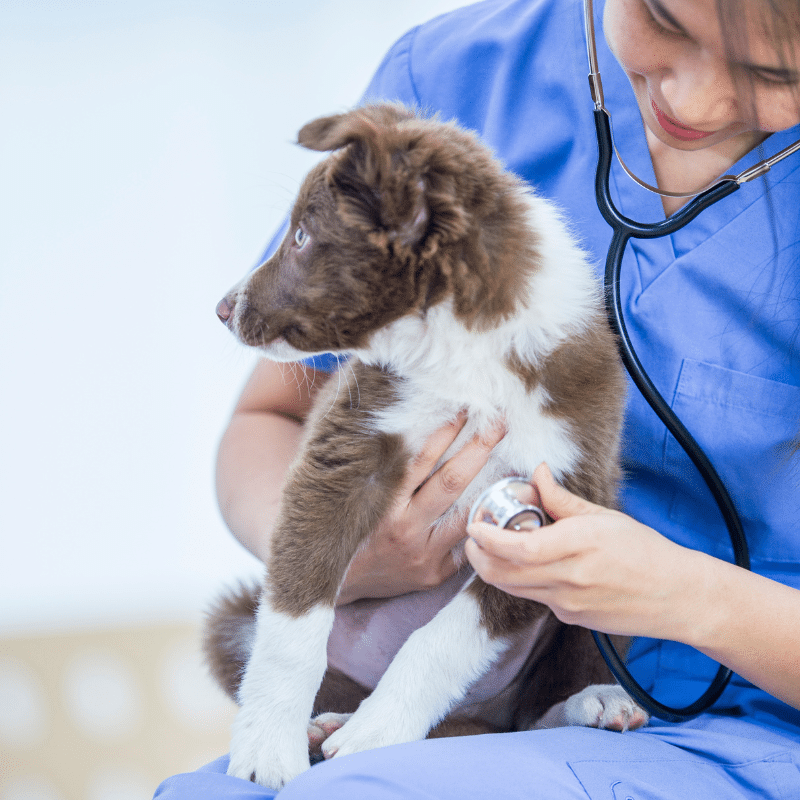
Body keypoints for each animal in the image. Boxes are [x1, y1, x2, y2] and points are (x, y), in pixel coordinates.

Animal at [206, 104, 644, 788]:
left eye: (301, 237)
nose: (224, 309)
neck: (461, 351)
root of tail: (480, 719)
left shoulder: (562, 492)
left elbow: (446, 638)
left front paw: (376, 735)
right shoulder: (349, 446)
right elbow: (293, 619)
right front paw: (267, 747)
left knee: (529, 713)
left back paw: (591, 702)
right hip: (231, 620)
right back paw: (325, 722)